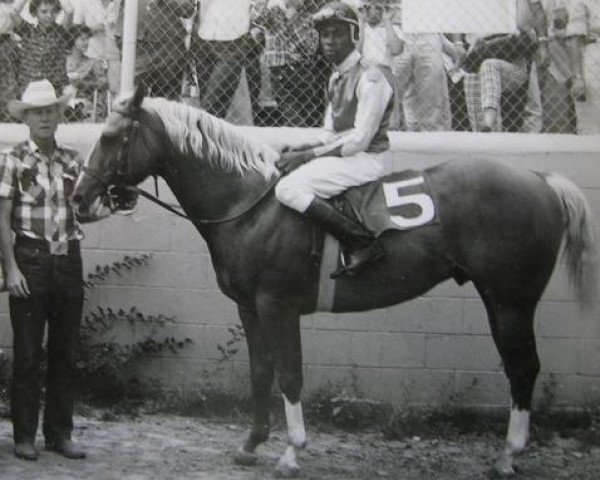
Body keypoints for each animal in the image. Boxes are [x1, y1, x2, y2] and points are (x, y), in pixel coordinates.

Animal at [70, 89, 596, 476]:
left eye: (113, 137)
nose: (79, 198)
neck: (250, 204)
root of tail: (542, 179)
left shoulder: (277, 305)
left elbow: (290, 375)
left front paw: (291, 452)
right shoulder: (249, 307)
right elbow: (260, 373)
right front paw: (251, 444)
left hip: (511, 301)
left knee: (523, 368)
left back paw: (508, 456)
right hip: (500, 299)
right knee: (519, 368)